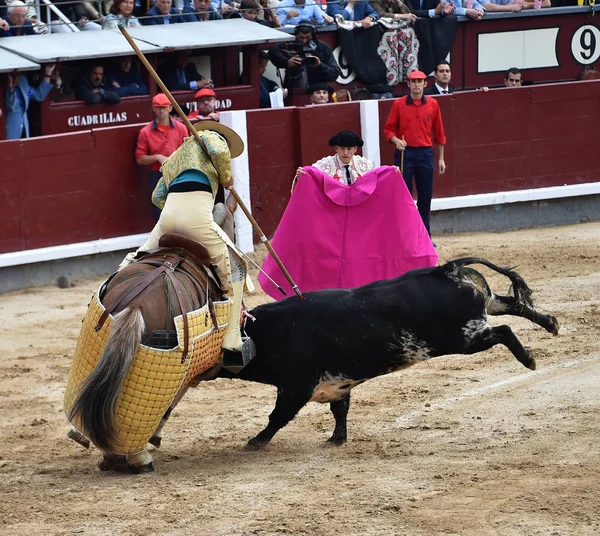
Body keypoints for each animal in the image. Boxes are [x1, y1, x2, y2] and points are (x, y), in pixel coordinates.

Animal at [214, 258, 556, 450]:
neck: (267, 332)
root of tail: (444, 270)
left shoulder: (296, 387)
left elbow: (278, 417)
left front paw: (255, 442)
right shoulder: (338, 384)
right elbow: (340, 411)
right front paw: (336, 440)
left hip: (464, 338)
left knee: (504, 330)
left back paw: (529, 359)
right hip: (479, 315)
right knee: (512, 304)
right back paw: (550, 322)